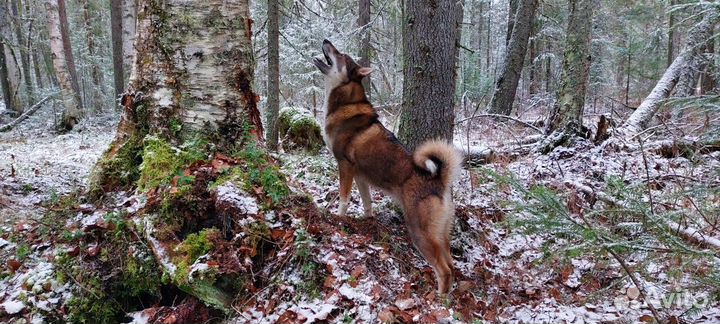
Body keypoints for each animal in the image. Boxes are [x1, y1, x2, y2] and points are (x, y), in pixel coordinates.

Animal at [314, 39, 462, 294]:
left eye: (340, 55)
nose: (326, 40)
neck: (346, 103)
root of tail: (439, 180)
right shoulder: (361, 176)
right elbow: (367, 203)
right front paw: (367, 221)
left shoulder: (345, 166)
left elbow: (343, 199)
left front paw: (339, 218)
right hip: (441, 234)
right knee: (452, 265)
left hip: (420, 232)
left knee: (443, 269)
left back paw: (438, 299)